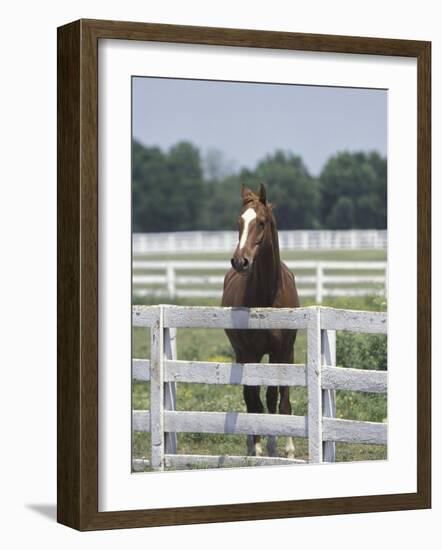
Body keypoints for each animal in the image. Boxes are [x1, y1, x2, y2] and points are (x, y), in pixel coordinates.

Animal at [221, 183, 300, 460]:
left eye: (262, 222)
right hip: (241, 353)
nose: (240, 261)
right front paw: (256, 448)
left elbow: (282, 400)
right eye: (239, 222)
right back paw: (252, 444)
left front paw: (288, 450)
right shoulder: (250, 352)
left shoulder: (285, 351)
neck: (268, 295)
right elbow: (253, 399)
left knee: (271, 397)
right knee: (250, 397)